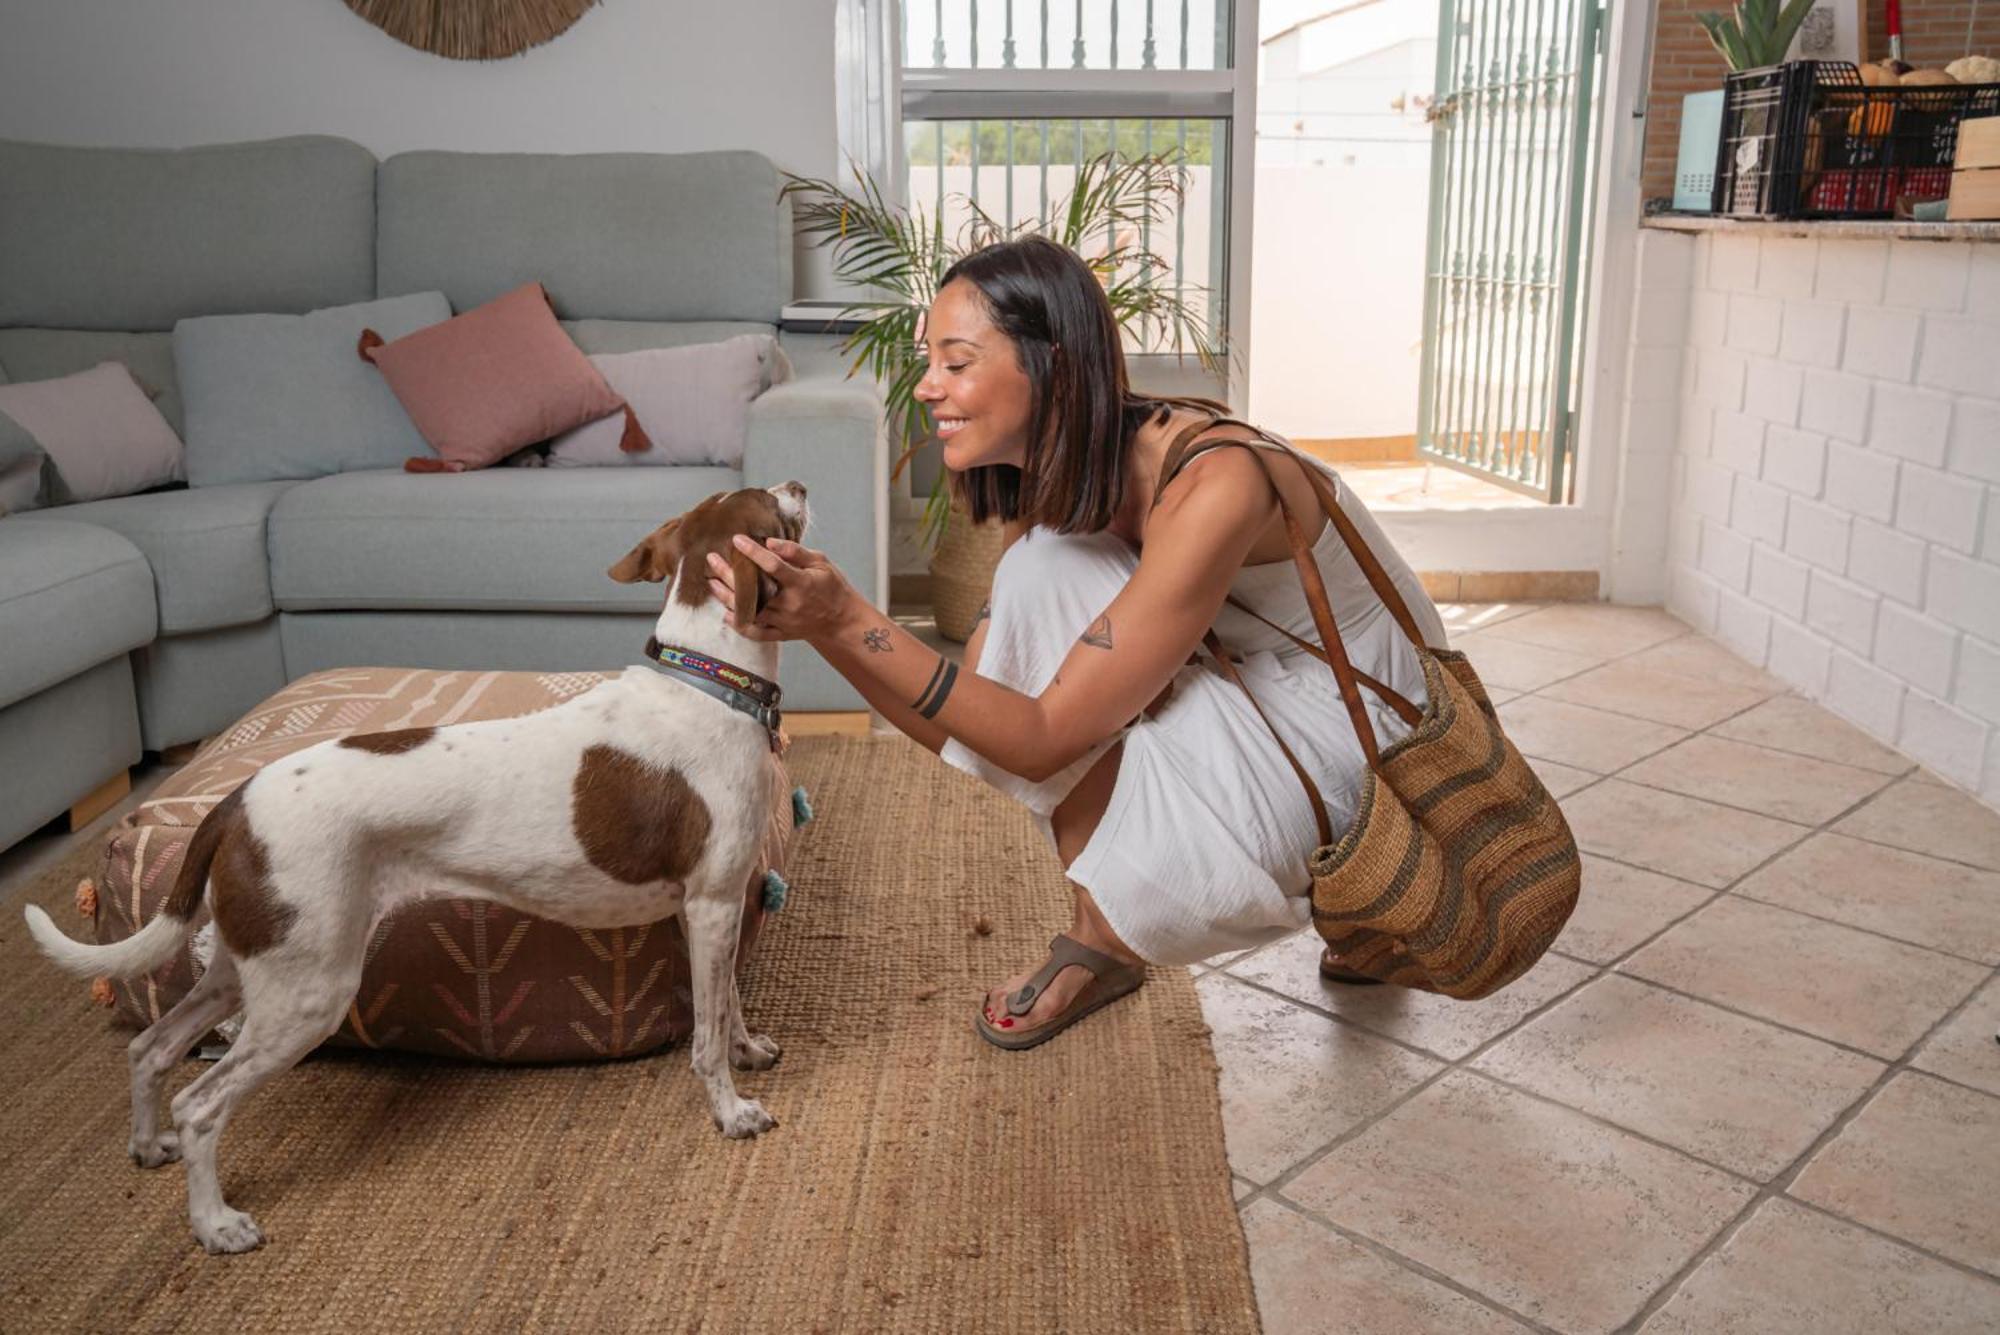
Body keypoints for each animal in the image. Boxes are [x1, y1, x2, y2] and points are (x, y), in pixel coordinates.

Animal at [27, 487, 808, 1255]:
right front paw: (732, 1110)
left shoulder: (710, 909)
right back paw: (214, 1223)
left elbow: (727, 1004)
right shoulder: (713, 902)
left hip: (249, 965)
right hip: (309, 992)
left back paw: (146, 1145)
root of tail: (235, 801)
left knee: (150, 1047)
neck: (707, 685)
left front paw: (748, 1049)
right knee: (199, 1104)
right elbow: (707, 1036)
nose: (798, 484)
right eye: (775, 506)